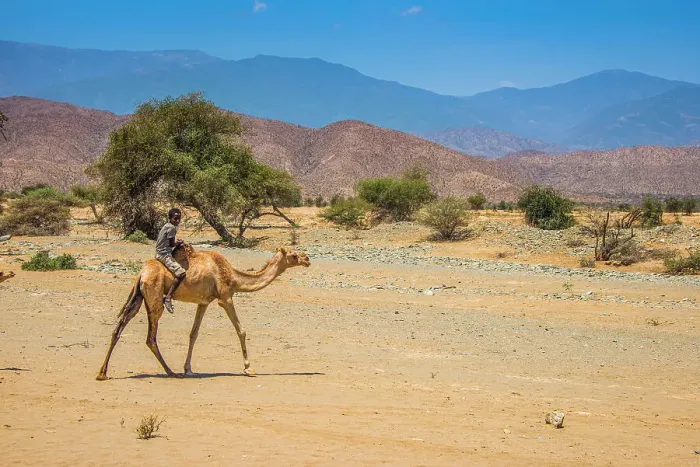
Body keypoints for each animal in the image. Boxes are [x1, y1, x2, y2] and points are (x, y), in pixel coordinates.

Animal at [96, 244, 310, 381]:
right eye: (293, 254)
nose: (307, 259)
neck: (233, 276)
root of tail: (141, 273)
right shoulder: (225, 298)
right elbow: (241, 331)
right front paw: (248, 368)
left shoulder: (204, 302)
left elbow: (194, 333)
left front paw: (188, 368)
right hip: (155, 298)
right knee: (150, 337)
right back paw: (170, 372)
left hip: (138, 297)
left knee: (118, 328)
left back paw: (102, 373)